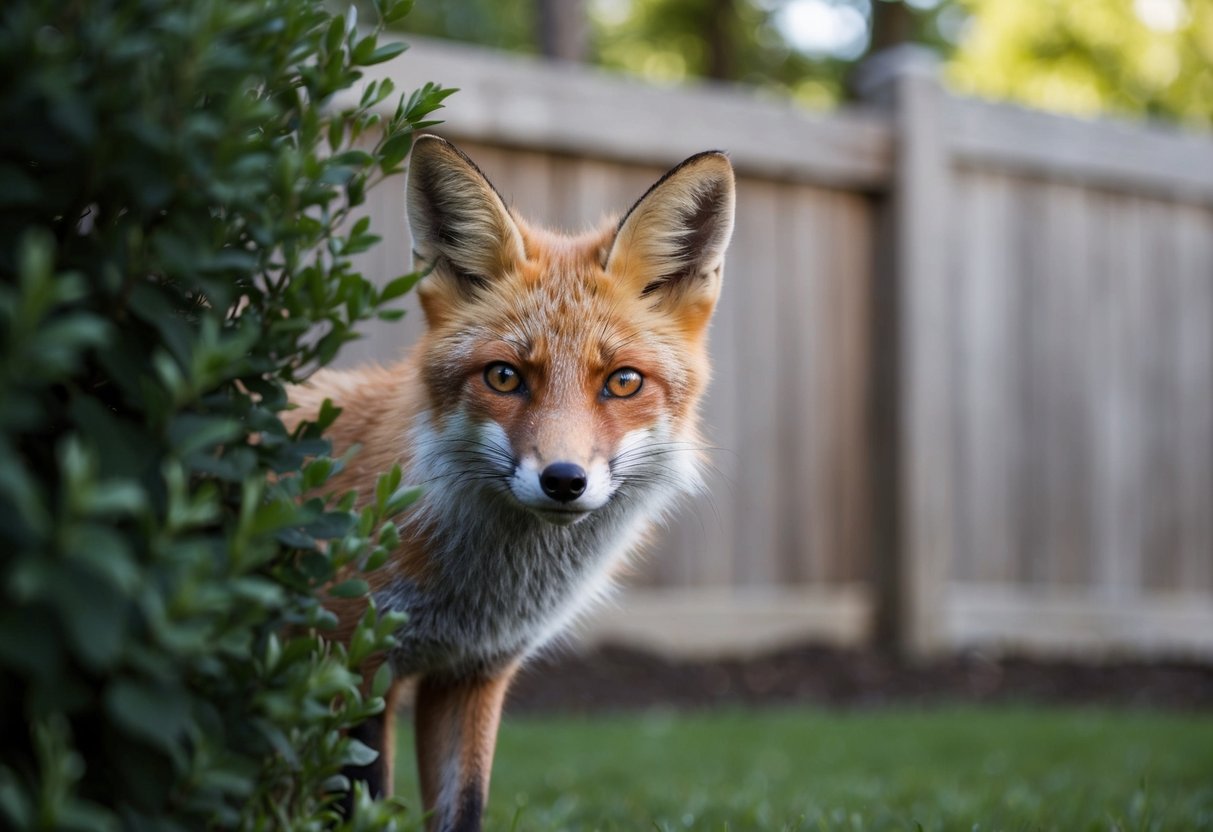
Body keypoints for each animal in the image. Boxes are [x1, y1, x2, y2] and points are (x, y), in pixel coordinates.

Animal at [287, 134, 735, 831]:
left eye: (623, 382)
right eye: (504, 377)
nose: (564, 480)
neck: (475, 598)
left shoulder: (471, 676)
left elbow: (463, 810)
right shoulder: (344, 666)